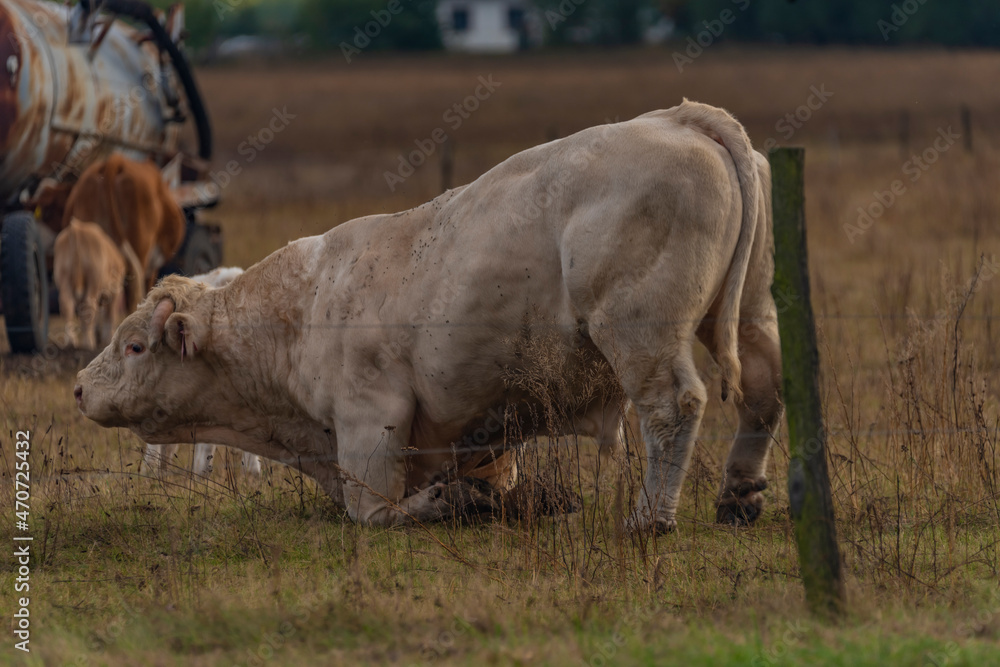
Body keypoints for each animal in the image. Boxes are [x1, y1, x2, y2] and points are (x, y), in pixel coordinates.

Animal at [53, 219, 144, 351]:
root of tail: (76, 228)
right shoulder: (115, 291)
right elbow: (110, 314)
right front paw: (108, 338)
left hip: (64, 278)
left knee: (67, 304)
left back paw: (72, 341)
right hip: (94, 280)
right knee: (88, 305)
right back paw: (88, 343)